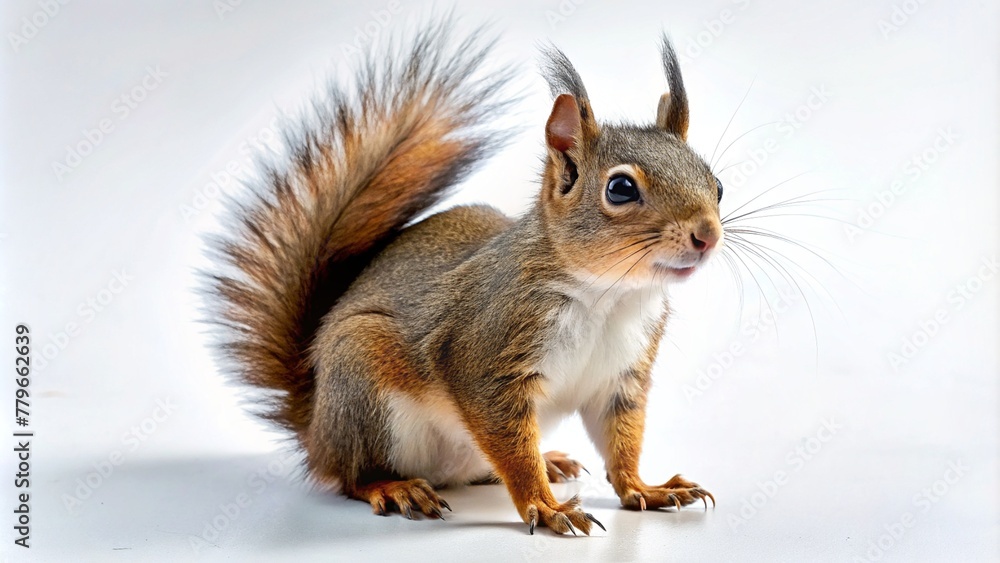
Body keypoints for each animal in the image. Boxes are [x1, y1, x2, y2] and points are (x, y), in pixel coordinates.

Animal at [206, 20, 721, 536]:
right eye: (620, 188)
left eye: (715, 184)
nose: (708, 235)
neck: (607, 296)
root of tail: (316, 428)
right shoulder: (486, 353)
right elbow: (511, 447)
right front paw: (546, 507)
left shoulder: (621, 378)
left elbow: (621, 442)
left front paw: (645, 489)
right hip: (362, 386)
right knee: (353, 476)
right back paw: (395, 487)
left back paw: (550, 460)